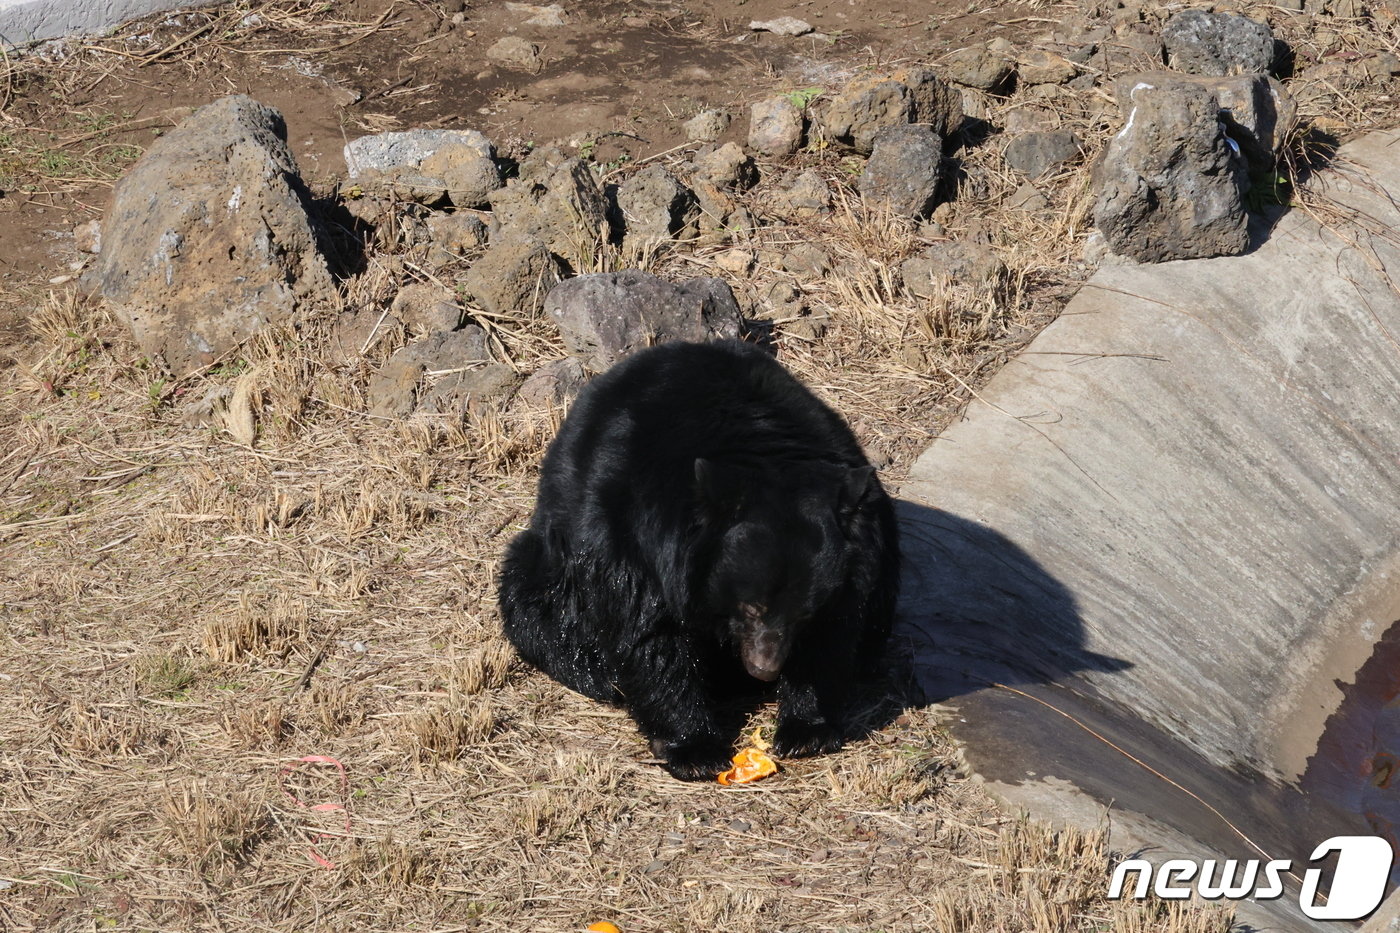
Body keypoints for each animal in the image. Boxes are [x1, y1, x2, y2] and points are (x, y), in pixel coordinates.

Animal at [501, 337, 896, 773]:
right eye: (750, 606)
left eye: (803, 613)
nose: (764, 670)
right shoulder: (631, 532)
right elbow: (647, 630)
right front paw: (695, 751)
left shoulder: (858, 560)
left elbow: (833, 629)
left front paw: (805, 732)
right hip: (545, 566)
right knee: (535, 611)